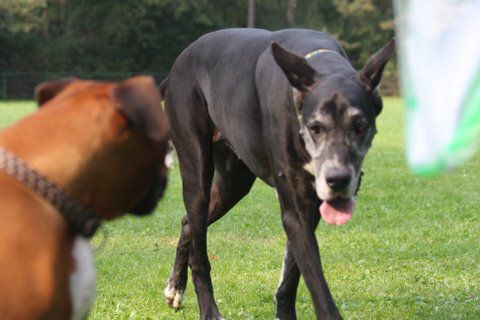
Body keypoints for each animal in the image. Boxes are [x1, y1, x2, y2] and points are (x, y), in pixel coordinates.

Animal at [161, 28, 394, 318]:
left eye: (360, 126)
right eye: (316, 128)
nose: (338, 179)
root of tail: (178, 63)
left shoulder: (308, 209)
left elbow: (292, 276)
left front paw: (284, 311)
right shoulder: (295, 211)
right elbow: (317, 285)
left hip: (233, 185)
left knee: (188, 223)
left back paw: (175, 286)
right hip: (196, 174)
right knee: (199, 250)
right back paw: (208, 309)